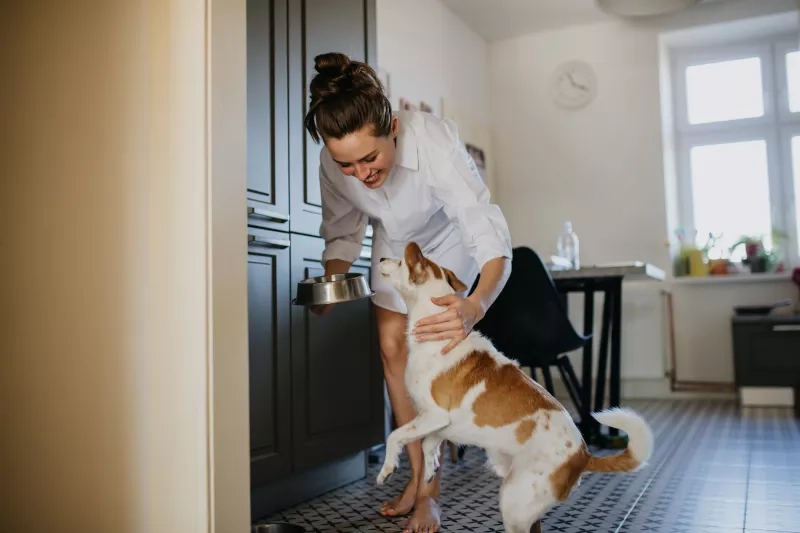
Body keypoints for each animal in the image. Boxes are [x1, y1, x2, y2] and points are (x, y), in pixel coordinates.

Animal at [378, 243, 652, 528]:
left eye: (400, 262)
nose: (381, 257)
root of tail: (582, 455)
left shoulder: (435, 414)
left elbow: (395, 434)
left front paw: (387, 468)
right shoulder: (436, 422)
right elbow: (426, 444)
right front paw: (430, 469)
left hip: (514, 502)